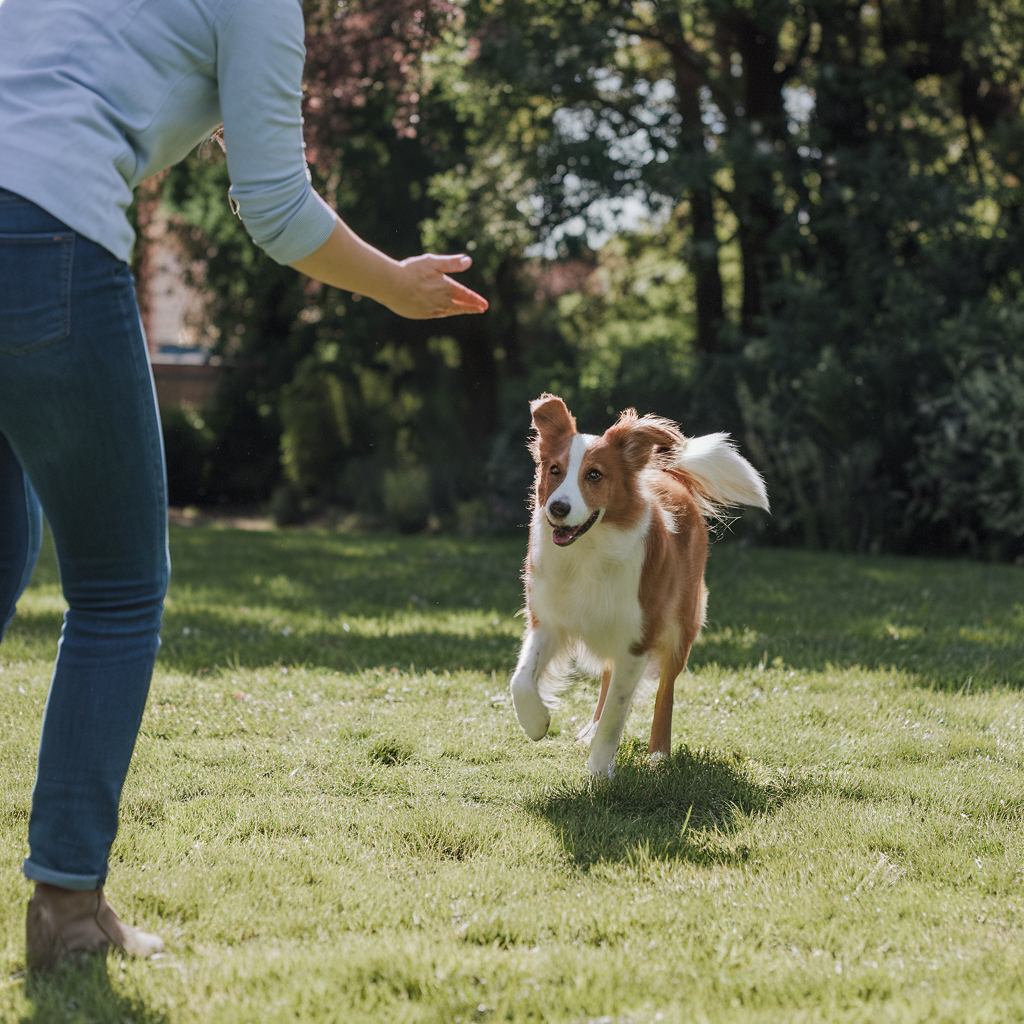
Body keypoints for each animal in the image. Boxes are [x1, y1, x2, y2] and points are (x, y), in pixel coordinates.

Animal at [512, 391, 770, 774]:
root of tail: (669, 475)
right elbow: (521, 679)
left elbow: (616, 716)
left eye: (594, 474)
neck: (587, 552)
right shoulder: (550, 621)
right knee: (607, 675)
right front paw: (537, 722)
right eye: (554, 470)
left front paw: (599, 773)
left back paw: (658, 754)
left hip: (680, 628)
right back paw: (589, 731)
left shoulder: (638, 639)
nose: (557, 508)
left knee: (665, 690)